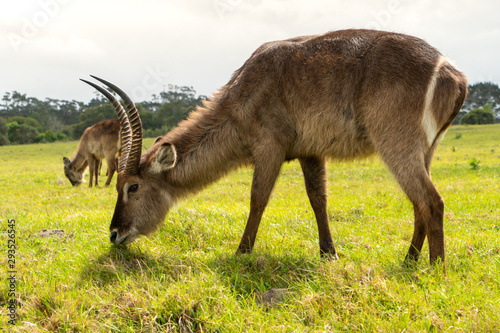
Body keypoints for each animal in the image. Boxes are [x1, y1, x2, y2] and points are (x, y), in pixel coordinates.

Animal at [80, 29, 466, 268]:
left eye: (133, 186)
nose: (114, 234)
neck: (240, 94)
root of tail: (454, 73)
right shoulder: (311, 151)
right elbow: (318, 199)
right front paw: (329, 254)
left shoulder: (270, 146)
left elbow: (258, 198)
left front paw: (241, 253)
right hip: (424, 151)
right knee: (419, 203)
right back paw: (409, 261)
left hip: (396, 144)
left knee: (432, 201)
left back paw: (435, 269)